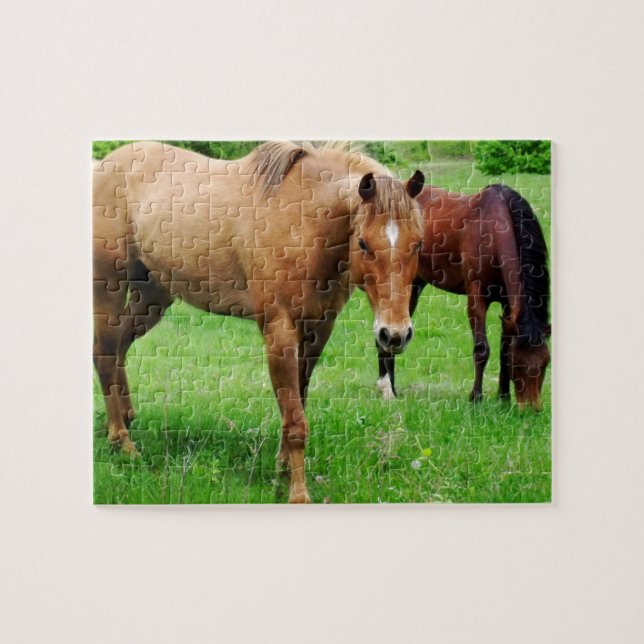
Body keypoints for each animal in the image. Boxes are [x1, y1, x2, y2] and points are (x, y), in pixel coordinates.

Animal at [93, 141, 425, 503]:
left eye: (417, 243)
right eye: (363, 243)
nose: (394, 334)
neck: (303, 221)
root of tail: (105, 167)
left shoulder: (318, 330)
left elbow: (297, 403)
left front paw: (281, 468)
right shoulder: (279, 332)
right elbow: (295, 420)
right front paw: (297, 493)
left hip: (152, 296)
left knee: (119, 348)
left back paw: (125, 420)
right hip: (110, 287)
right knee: (105, 355)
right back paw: (123, 441)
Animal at [375, 184, 550, 410]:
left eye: (546, 363)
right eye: (518, 364)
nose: (531, 409)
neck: (495, 230)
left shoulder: (508, 306)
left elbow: (504, 350)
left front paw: (503, 398)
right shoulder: (477, 297)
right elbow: (482, 349)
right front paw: (476, 397)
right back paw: (388, 388)